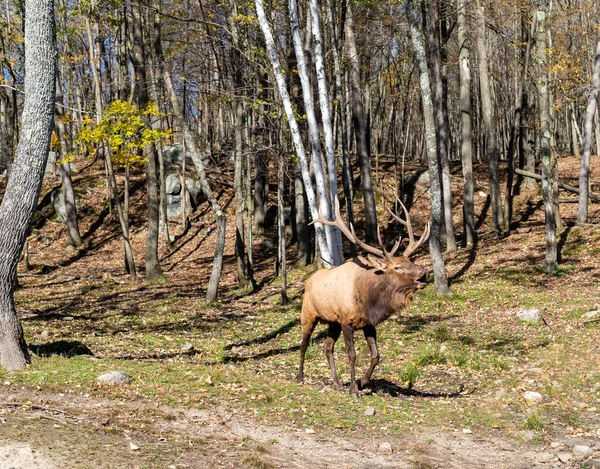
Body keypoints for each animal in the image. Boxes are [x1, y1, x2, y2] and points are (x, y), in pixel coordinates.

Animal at [296, 197, 432, 394]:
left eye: (410, 261)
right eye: (397, 267)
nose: (424, 271)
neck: (369, 301)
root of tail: (308, 282)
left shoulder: (368, 324)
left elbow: (376, 355)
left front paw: (362, 381)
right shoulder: (346, 321)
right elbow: (352, 355)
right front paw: (354, 390)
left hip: (332, 322)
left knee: (327, 347)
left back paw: (337, 383)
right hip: (308, 314)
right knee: (304, 344)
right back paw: (300, 377)